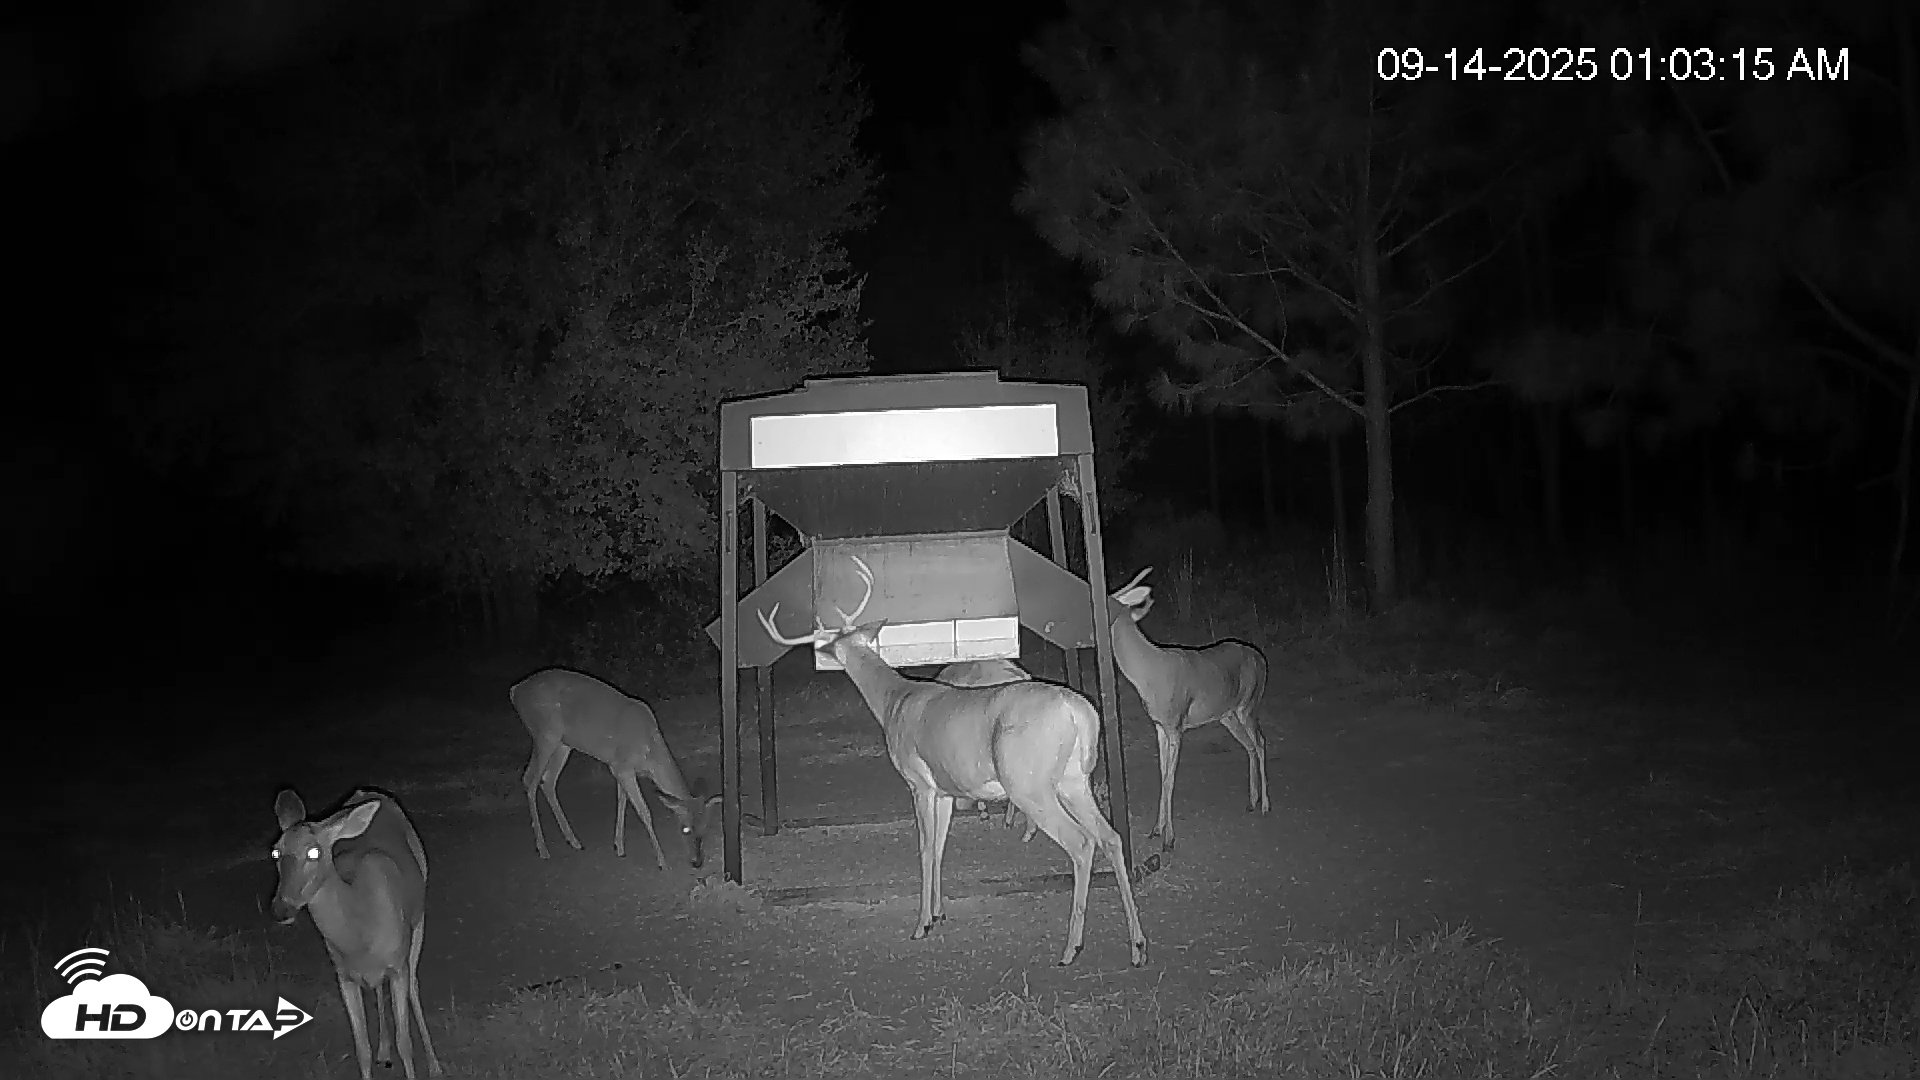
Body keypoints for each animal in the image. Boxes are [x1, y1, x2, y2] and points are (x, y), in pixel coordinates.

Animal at [271, 788, 443, 1080]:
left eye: (314, 852)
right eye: (275, 852)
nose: (281, 908)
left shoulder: (397, 964)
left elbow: (405, 1042)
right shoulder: (344, 975)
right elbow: (362, 1048)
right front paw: (377, 1053)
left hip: (418, 920)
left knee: (414, 986)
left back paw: (434, 1064)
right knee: (378, 991)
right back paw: (384, 1052)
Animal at [510, 668, 723, 870]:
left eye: (705, 826)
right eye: (685, 829)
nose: (697, 862)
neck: (650, 753)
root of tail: (515, 690)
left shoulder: (620, 766)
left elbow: (622, 801)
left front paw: (619, 846)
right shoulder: (622, 766)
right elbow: (644, 811)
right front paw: (662, 862)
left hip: (563, 743)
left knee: (548, 780)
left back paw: (574, 841)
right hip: (545, 734)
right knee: (529, 779)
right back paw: (543, 849)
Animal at [760, 555, 1149, 967]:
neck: (893, 702)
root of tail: (1079, 711)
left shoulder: (919, 782)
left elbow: (925, 847)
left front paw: (921, 924)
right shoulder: (945, 791)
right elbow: (941, 845)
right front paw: (938, 912)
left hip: (1029, 784)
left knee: (1081, 843)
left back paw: (1071, 948)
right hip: (1074, 779)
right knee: (1110, 836)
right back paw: (1138, 945)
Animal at [1106, 566, 1270, 853]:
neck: (1149, 673)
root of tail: (1261, 660)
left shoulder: (1176, 725)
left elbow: (1170, 778)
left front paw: (1169, 839)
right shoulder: (1159, 726)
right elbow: (1162, 774)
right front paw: (1156, 829)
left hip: (1249, 705)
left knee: (1260, 742)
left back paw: (1265, 806)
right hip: (1227, 715)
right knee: (1249, 745)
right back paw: (1252, 801)